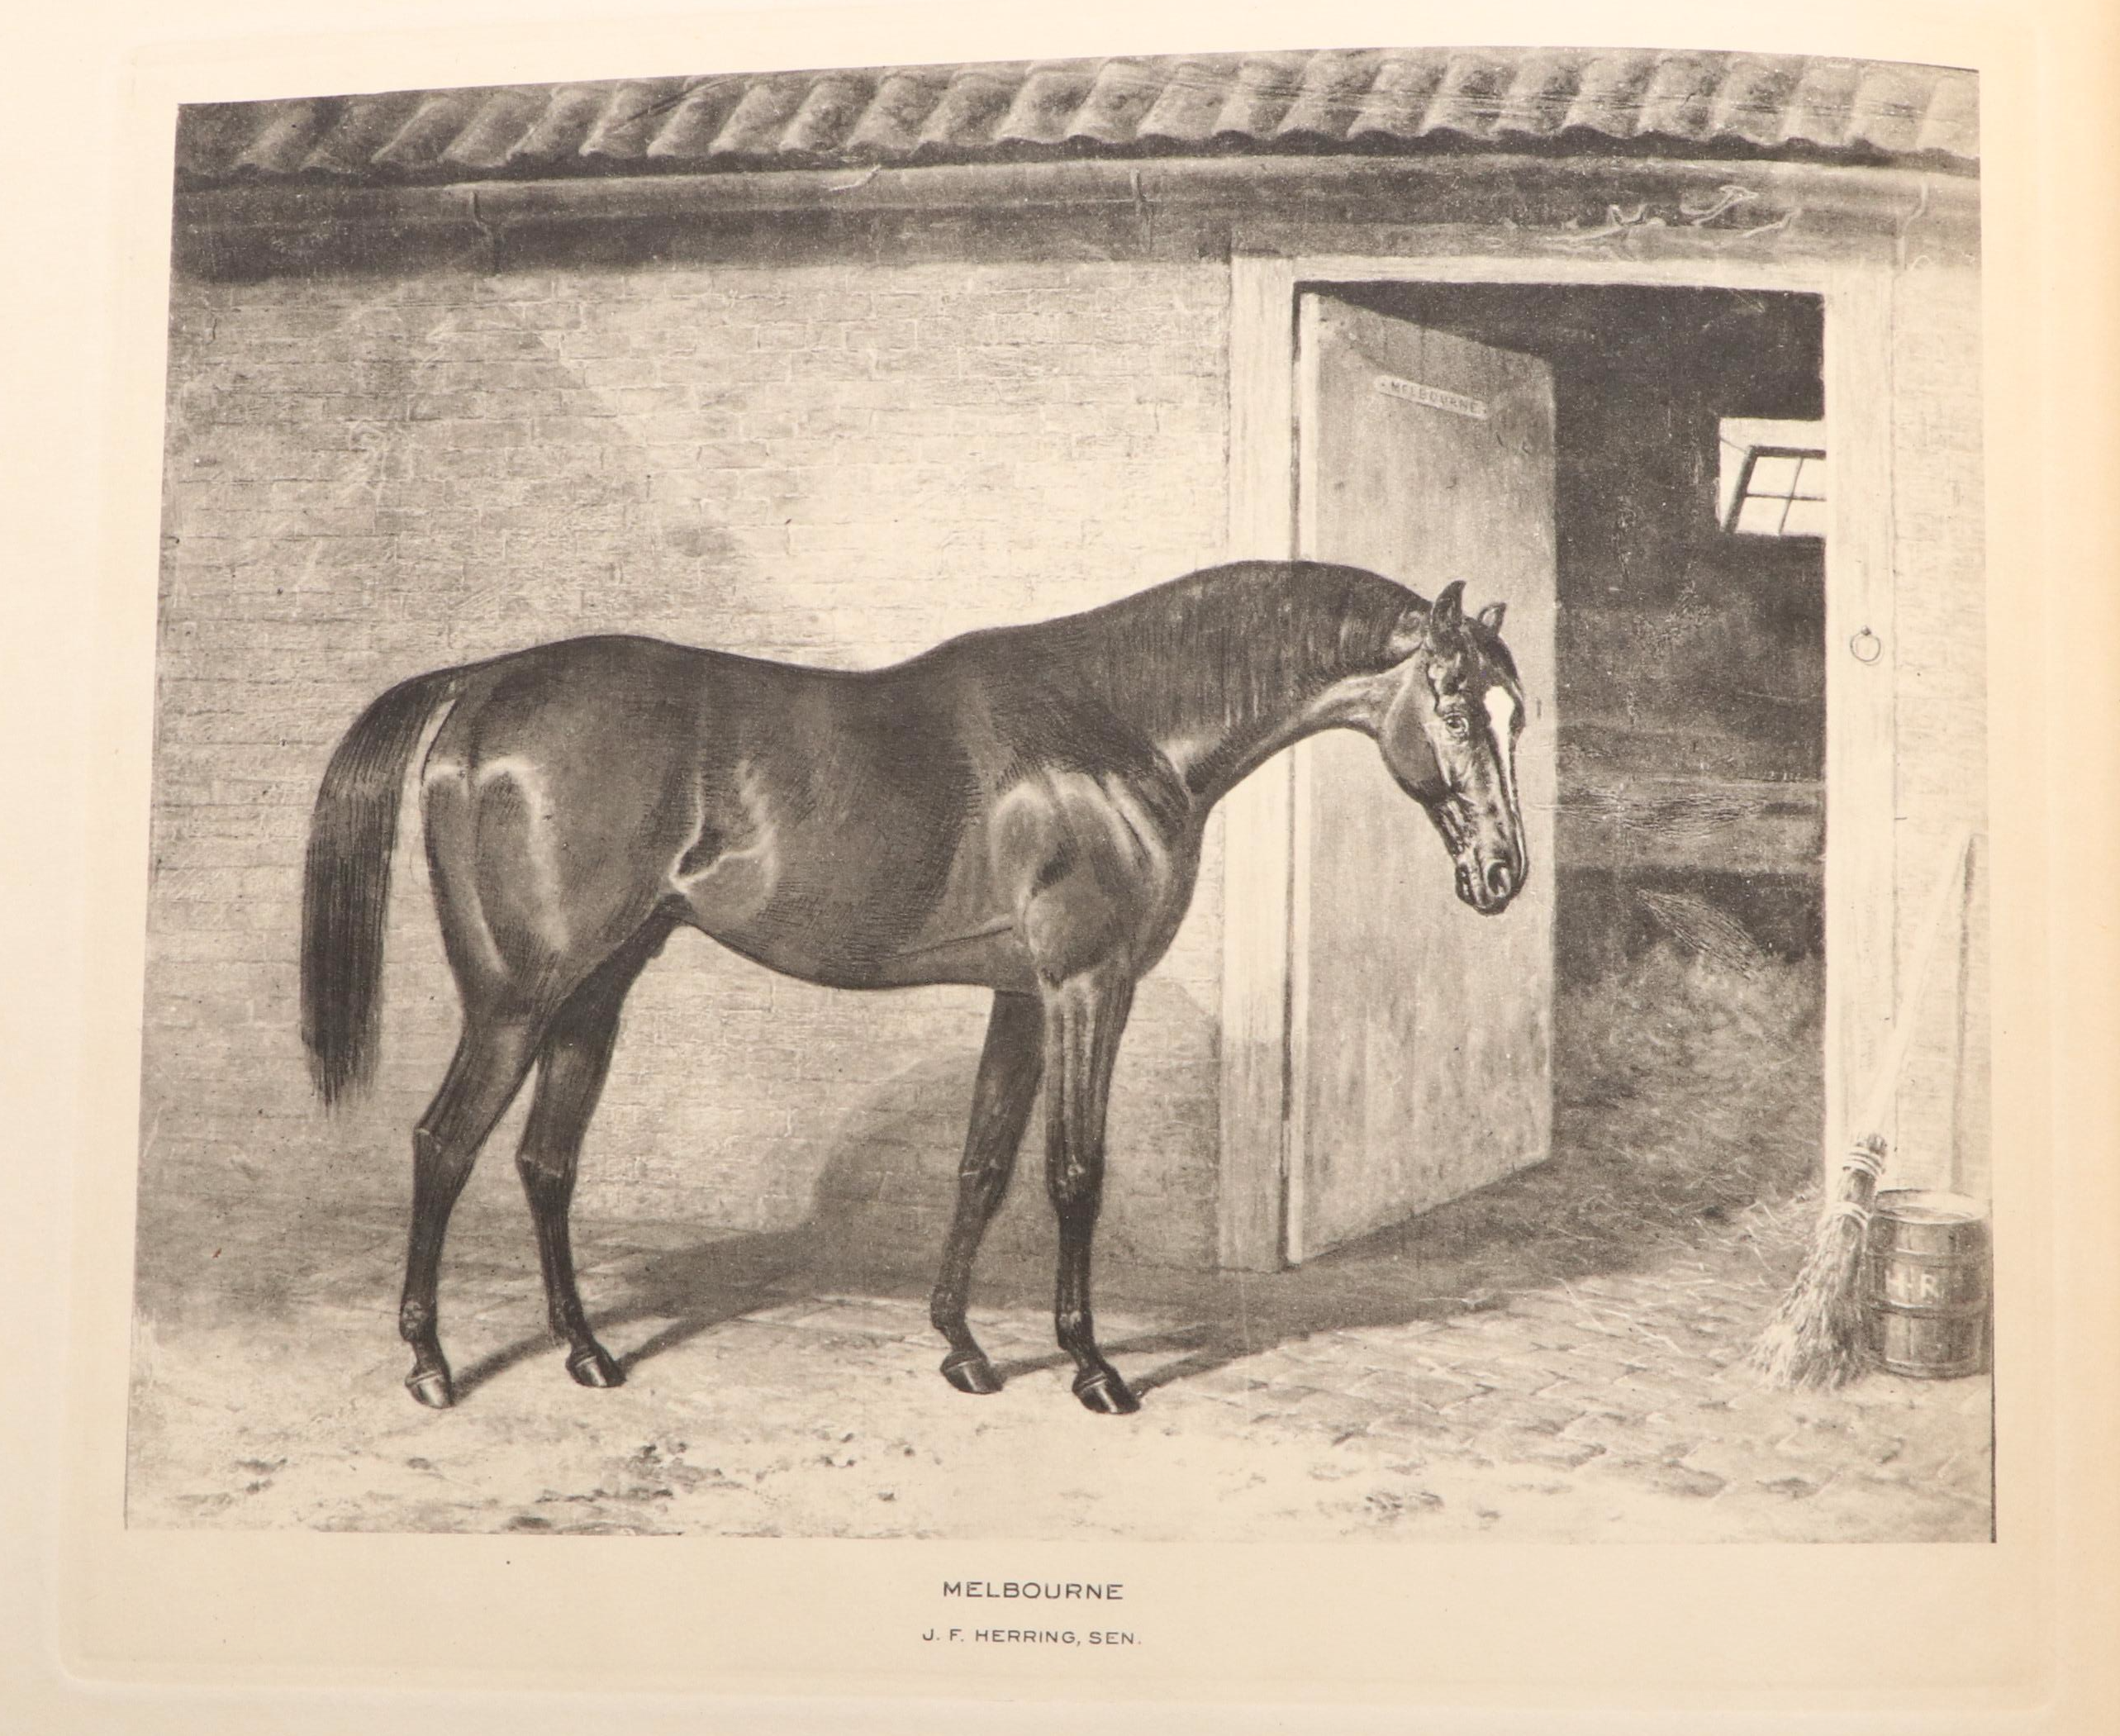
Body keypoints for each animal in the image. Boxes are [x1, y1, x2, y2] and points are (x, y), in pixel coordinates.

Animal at [299, 560, 1529, 1415]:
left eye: (1515, 714)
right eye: (1454, 704)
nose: (1501, 873)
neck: (1116, 724)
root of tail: (479, 688)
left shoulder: (1023, 998)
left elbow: (983, 1165)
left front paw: (963, 1348)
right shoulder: (1087, 986)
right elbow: (1073, 1172)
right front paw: (1092, 1367)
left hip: (595, 991)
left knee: (545, 1162)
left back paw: (588, 1353)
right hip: (517, 997)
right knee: (443, 1144)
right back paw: (430, 1364)